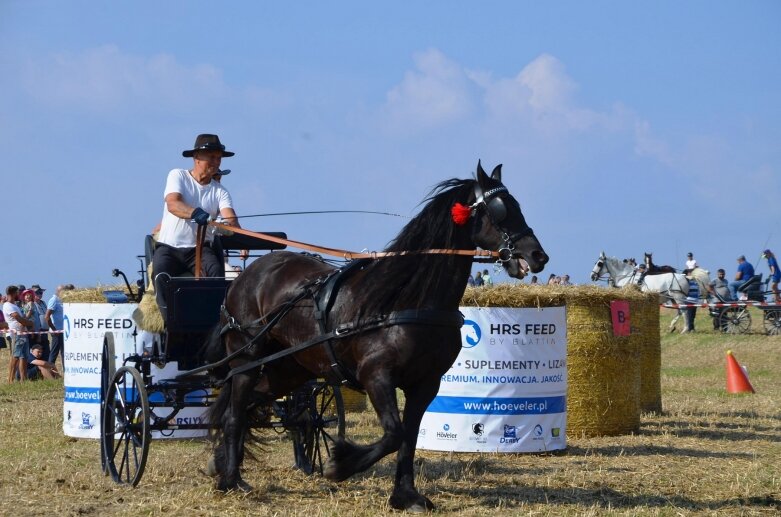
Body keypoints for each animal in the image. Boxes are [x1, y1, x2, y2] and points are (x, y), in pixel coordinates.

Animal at [204, 163, 552, 510]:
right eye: (501, 210)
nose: (539, 256)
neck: (408, 299)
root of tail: (247, 275)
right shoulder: (376, 376)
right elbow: (394, 434)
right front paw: (339, 465)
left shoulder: (426, 384)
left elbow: (408, 438)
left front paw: (406, 495)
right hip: (246, 359)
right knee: (235, 414)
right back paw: (232, 480)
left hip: (290, 369)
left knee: (248, 406)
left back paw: (221, 465)